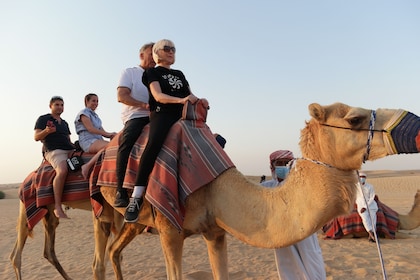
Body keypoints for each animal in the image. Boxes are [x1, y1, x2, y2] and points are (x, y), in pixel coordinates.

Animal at [95, 101, 420, 278]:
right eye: (354, 119)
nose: (415, 128)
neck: (216, 186)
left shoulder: (215, 231)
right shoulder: (169, 229)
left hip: (136, 221)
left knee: (114, 251)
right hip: (104, 207)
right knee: (100, 257)